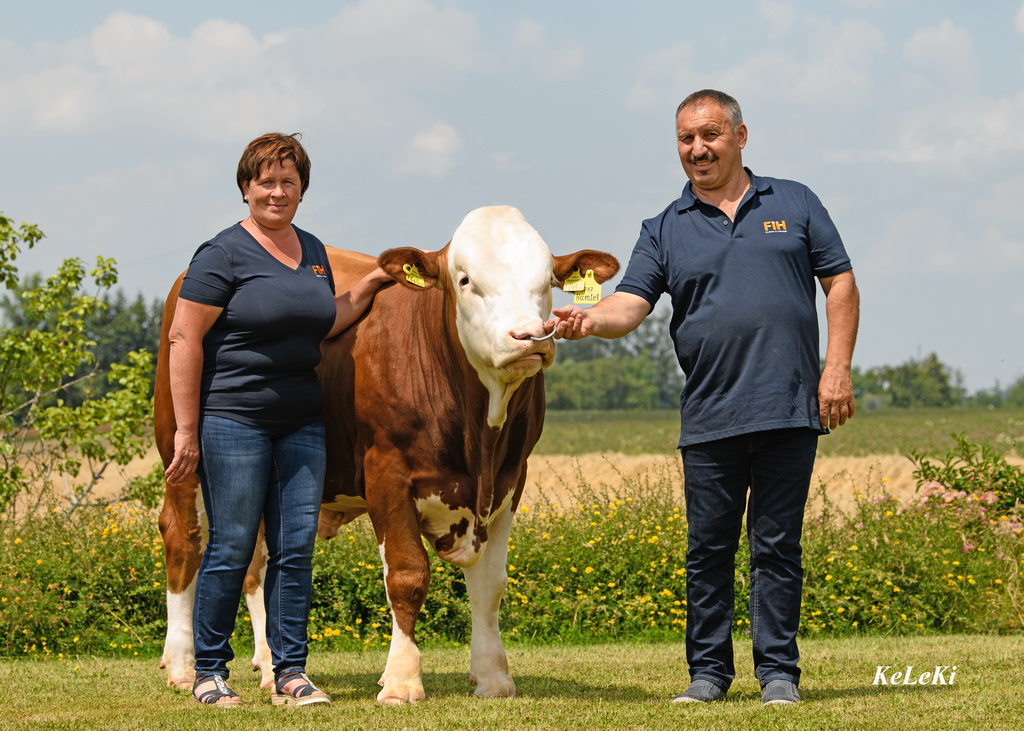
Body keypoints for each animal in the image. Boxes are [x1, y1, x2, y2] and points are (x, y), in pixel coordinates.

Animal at [151, 204, 614, 700]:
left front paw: (493, 676)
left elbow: (489, 584)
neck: (479, 438)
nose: (530, 336)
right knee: (183, 540)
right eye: (465, 279)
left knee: (258, 561)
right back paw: (182, 667)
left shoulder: (511, 481)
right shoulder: (387, 473)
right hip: (183, 454)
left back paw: (271, 667)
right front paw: (401, 679)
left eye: (548, 280)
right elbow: (407, 576)